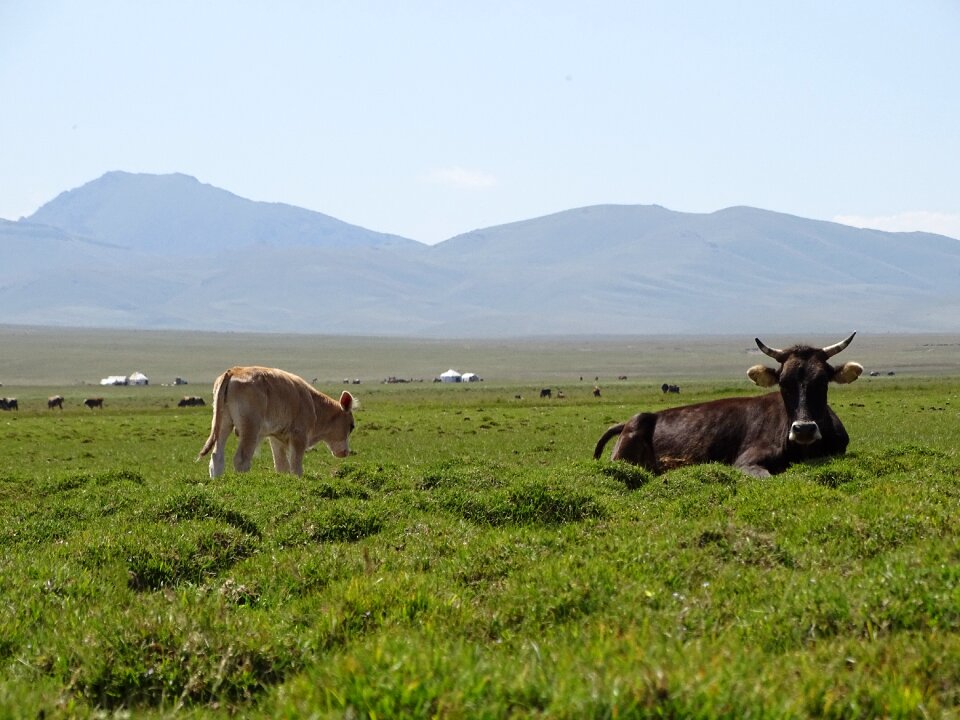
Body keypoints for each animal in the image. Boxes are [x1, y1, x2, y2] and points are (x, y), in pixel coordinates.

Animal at [197, 366, 354, 478]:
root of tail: (234, 371)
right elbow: (296, 466)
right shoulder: (299, 436)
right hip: (250, 429)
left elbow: (281, 465)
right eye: (352, 426)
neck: (313, 403)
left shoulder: (276, 437)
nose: (346, 452)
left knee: (217, 457)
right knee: (241, 459)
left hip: (223, 424)